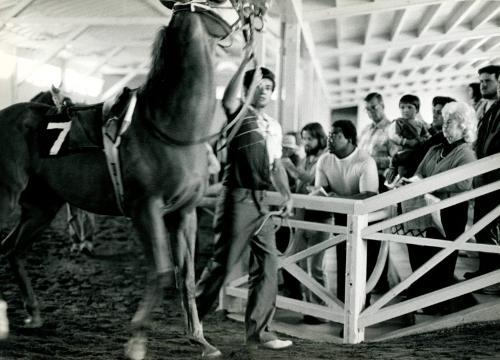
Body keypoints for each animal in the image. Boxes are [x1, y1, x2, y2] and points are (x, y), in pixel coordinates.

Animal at [0, 1, 270, 358]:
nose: (260, 8)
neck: (169, 125)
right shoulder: (146, 209)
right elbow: (162, 272)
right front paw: (137, 340)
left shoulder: (184, 213)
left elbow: (185, 275)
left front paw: (200, 339)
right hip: (6, 195)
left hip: (41, 206)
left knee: (12, 250)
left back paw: (32, 314)